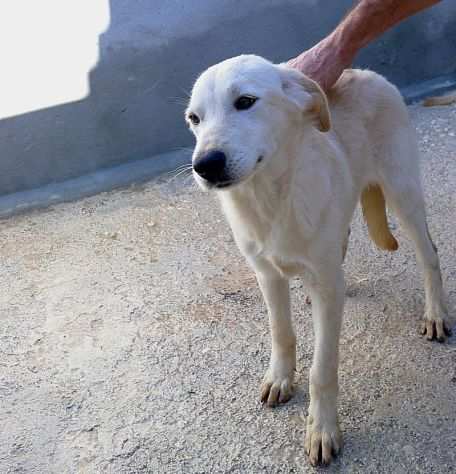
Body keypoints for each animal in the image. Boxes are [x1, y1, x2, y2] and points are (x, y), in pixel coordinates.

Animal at [184, 53, 448, 464]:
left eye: (245, 101)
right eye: (194, 119)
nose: (205, 165)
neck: (270, 199)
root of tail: (367, 73)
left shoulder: (323, 288)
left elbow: (322, 370)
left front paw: (322, 430)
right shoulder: (267, 275)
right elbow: (281, 332)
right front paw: (280, 378)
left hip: (403, 194)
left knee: (429, 255)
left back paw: (435, 314)